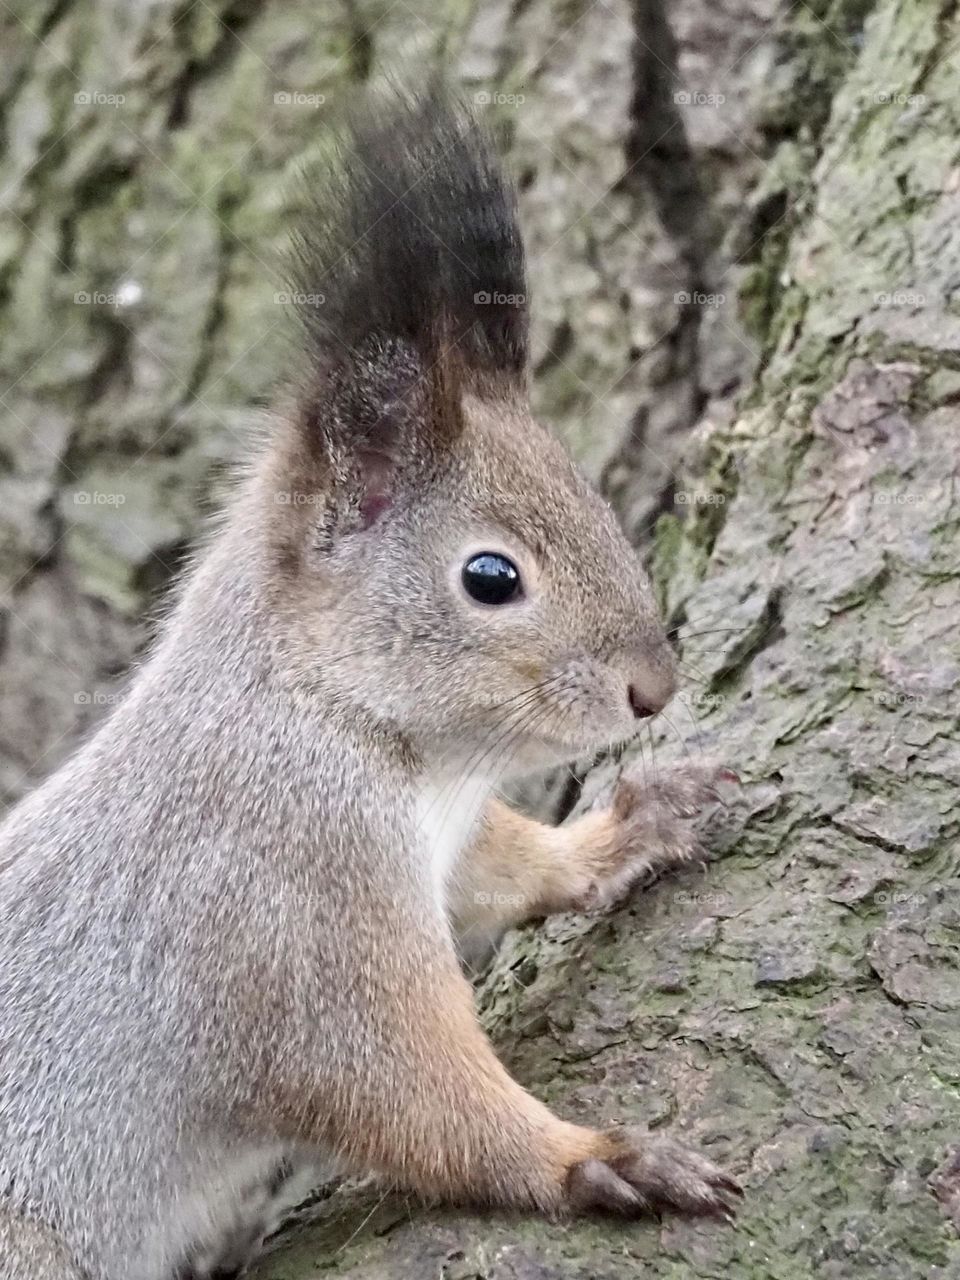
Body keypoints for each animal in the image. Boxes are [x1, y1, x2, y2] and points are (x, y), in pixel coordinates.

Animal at [0, 91, 741, 1280]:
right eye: (491, 577)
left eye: (589, 492)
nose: (653, 689)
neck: (364, 733)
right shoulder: (284, 910)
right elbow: (404, 1089)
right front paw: (588, 1158)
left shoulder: (449, 837)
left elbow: (508, 866)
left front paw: (627, 829)